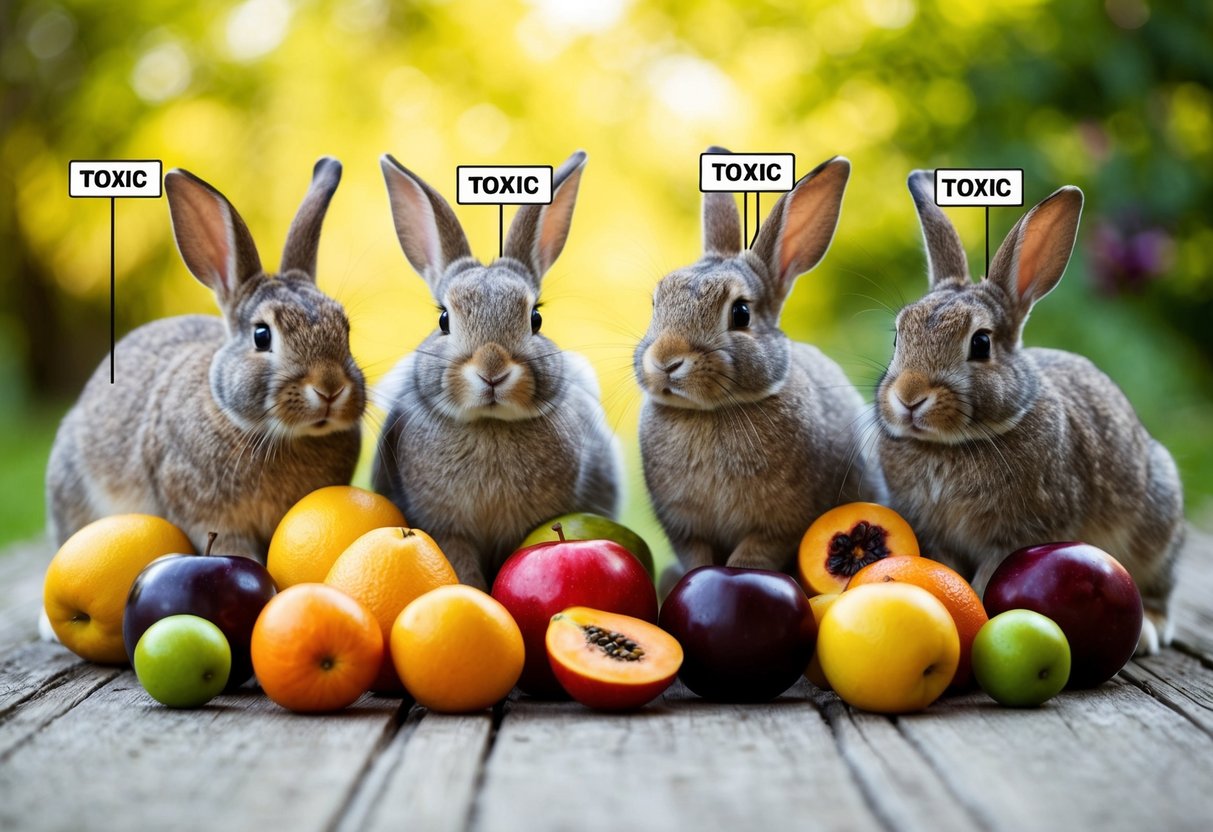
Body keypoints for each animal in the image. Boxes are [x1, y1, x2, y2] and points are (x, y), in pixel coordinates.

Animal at [635, 149, 886, 593]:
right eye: (655, 303)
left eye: (741, 313)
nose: (666, 360)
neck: (712, 413)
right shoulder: (686, 530)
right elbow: (696, 556)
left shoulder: (779, 525)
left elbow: (752, 555)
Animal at [873, 170, 1184, 655]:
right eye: (897, 336)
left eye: (981, 343)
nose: (909, 397)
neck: (951, 445)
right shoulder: (936, 535)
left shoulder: (1018, 535)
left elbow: (986, 579)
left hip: (1157, 519)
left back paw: (1149, 627)